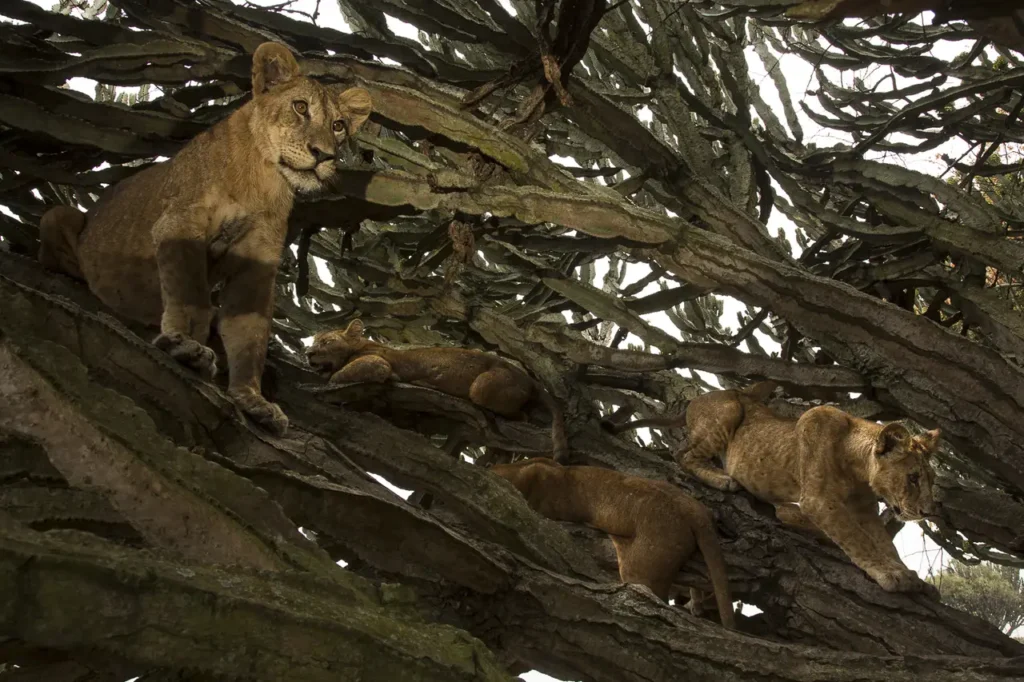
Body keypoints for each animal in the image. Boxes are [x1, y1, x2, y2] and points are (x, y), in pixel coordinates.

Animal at [41, 43, 376, 436]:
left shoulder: (257, 265)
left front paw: (252, 398)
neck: (263, 179)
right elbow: (189, 296)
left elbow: (250, 334)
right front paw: (186, 348)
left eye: (338, 126)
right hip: (56, 216)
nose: (324, 154)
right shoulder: (180, 223)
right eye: (299, 107)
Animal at [307, 319, 573, 462]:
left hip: (482, 387)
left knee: (521, 415)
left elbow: (343, 373)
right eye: (314, 342)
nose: (309, 353)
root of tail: (530, 379)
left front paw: (328, 381)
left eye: (327, 342)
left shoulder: (378, 363)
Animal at [675, 385, 937, 593]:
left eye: (932, 480)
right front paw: (890, 574)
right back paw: (722, 479)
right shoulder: (818, 500)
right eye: (913, 478)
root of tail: (700, 396)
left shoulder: (865, 511)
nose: (927, 512)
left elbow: (884, 543)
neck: (859, 473)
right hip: (729, 411)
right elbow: (858, 539)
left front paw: (906, 573)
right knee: (684, 456)